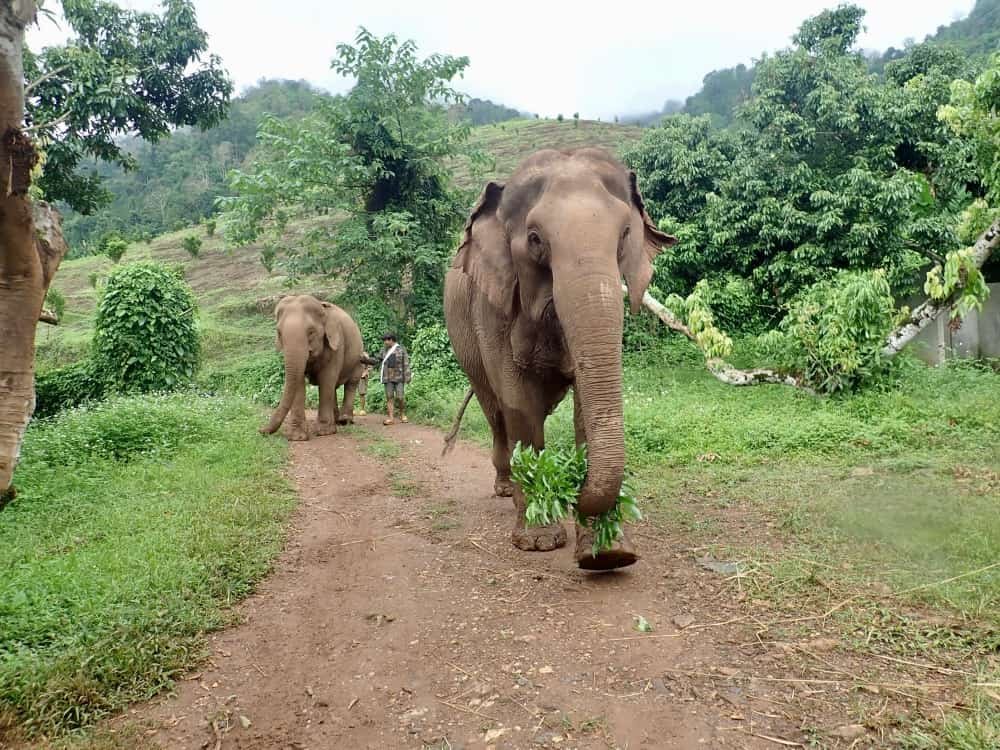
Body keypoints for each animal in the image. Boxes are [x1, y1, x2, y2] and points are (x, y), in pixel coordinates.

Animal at [260, 296, 366, 444]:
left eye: (311, 332)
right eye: (279, 332)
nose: (260, 430)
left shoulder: (336, 344)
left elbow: (326, 379)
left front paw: (325, 433)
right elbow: (299, 381)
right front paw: (298, 438)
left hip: (358, 357)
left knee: (351, 383)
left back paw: (345, 421)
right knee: (334, 387)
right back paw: (336, 421)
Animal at [448, 147, 676, 568]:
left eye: (624, 234)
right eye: (535, 238)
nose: (575, 487)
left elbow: (586, 404)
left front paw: (608, 551)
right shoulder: (493, 305)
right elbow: (519, 403)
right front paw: (539, 541)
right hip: (464, 344)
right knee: (496, 411)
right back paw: (506, 488)